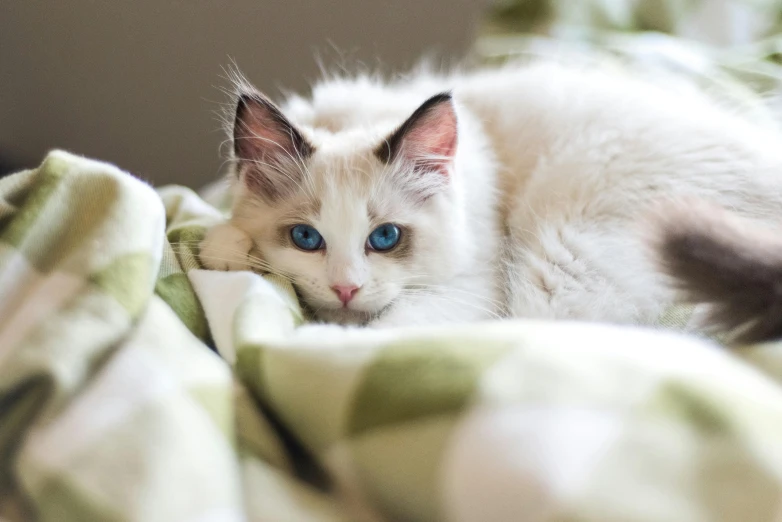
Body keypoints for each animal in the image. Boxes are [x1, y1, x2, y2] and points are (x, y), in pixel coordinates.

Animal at [198, 61, 782, 328]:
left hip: (561, 261)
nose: (345, 289)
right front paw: (224, 248)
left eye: (385, 238)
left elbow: (386, 333)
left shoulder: (470, 285)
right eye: (305, 238)